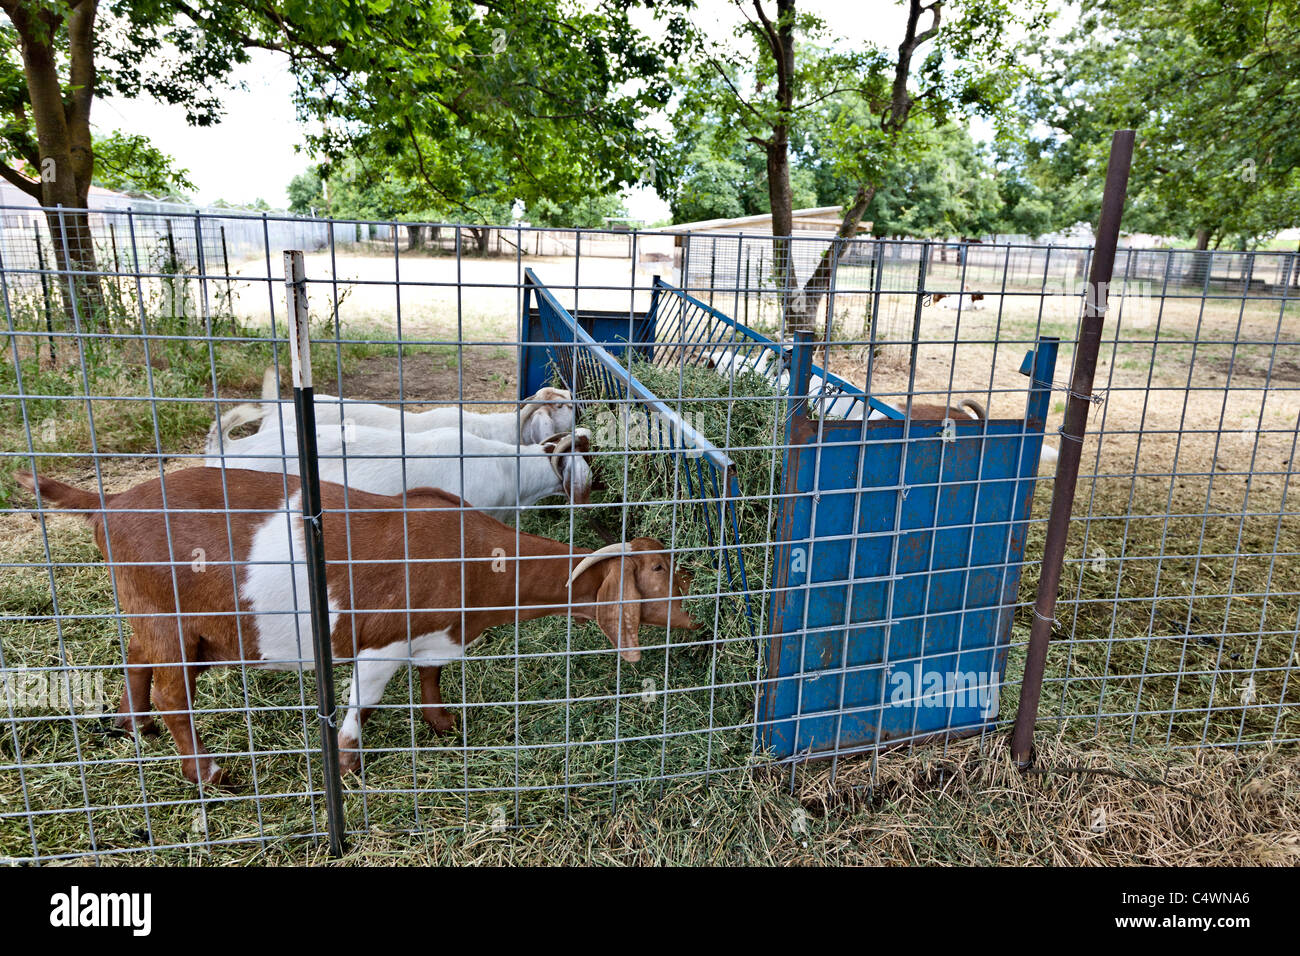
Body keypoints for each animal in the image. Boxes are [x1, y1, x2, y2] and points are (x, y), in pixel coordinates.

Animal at [15, 468, 698, 784]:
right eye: (660, 568)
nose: (695, 608)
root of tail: (109, 504)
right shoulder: (381, 642)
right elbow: (361, 705)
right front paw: (346, 768)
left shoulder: (434, 637)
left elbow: (432, 678)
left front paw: (444, 725)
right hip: (170, 616)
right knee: (172, 693)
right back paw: (209, 774)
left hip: (170, 621)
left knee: (135, 660)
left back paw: (132, 729)